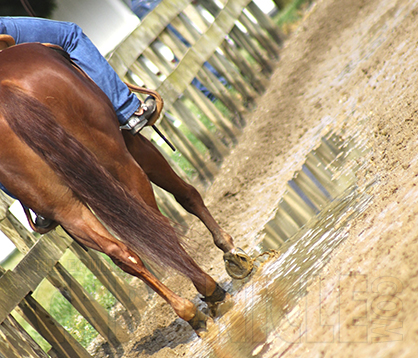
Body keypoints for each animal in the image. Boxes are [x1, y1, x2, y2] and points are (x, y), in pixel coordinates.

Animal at [0, 42, 251, 332]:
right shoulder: (134, 143)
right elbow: (187, 195)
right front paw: (231, 251)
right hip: (118, 162)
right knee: (161, 227)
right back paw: (209, 290)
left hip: (65, 206)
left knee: (122, 252)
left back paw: (189, 311)